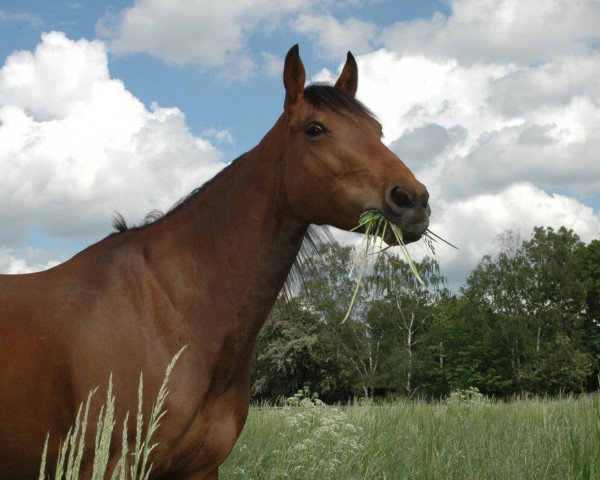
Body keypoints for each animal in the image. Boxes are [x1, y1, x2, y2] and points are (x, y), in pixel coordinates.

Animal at [1, 45, 432, 480]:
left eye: (377, 131)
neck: (170, 310)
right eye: (315, 129)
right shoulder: (111, 466)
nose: (412, 200)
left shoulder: (202, 468)